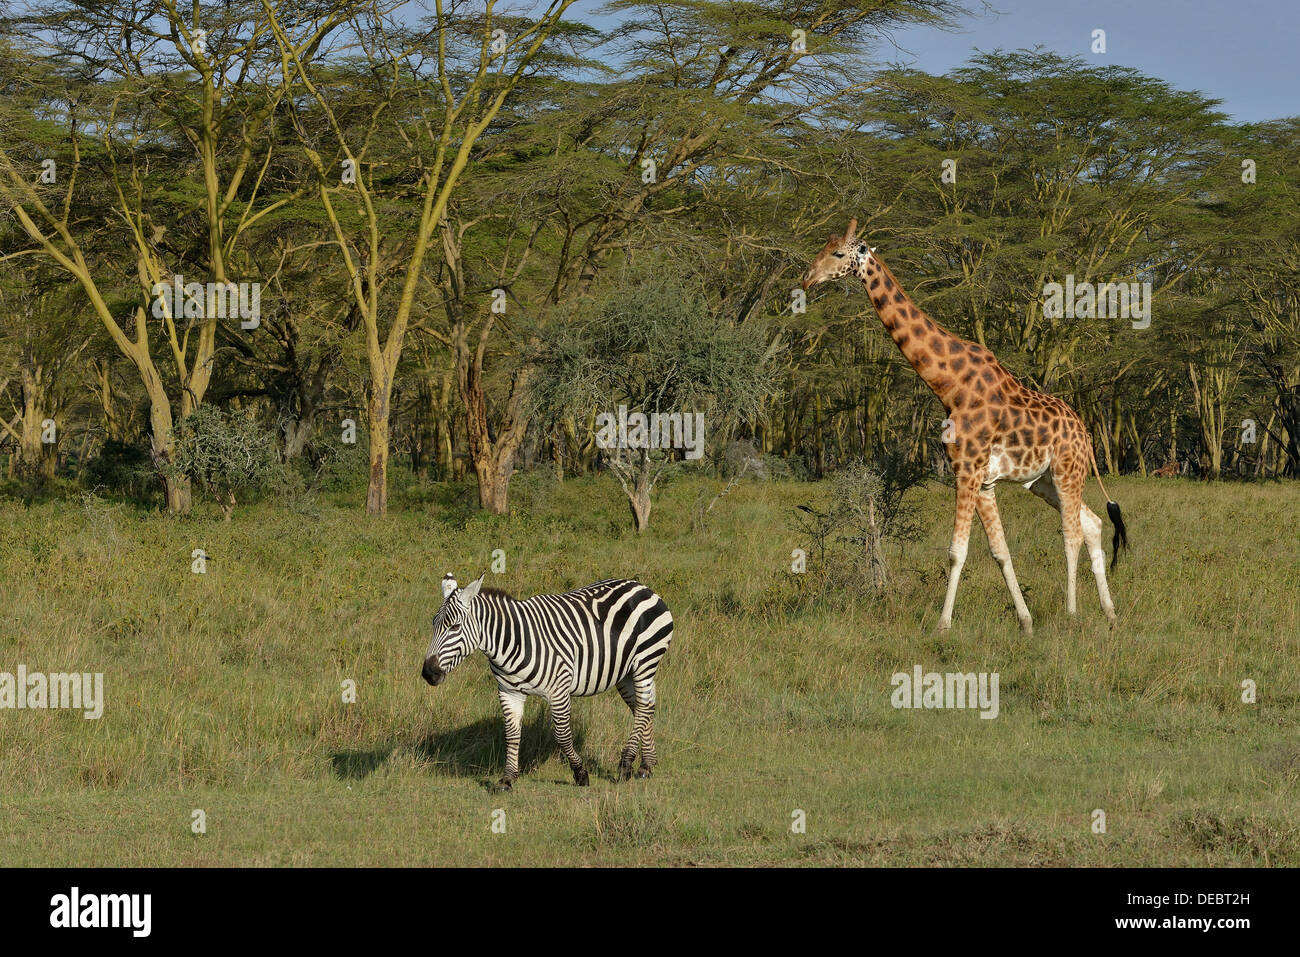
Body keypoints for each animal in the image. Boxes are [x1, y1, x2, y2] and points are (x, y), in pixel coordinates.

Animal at [421, 572, 676, 790]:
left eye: (455, 627)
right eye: (433, 624)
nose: (428, 673)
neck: (515, 642)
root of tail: (641, 587)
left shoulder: (559, 690)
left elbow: (562, 735)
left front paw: (580, 774)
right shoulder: (508, 691)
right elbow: (511, 734)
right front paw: (507, 779)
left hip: (645, 662)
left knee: (643, 708)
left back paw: (626, 765)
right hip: (625, 674)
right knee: (644, 708)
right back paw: (646, 765)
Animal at [795, 221, 1123, 631]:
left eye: (838, 253)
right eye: (823, 247)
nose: (807, 279)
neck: (950, 386)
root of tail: (1086, 433)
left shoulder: (966, 470)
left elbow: (957, 551)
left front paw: (942, 624)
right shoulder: (983, 480)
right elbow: (999, 551)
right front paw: (1026, 621)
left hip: (1067, 470)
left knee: (1072, 533)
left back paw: (1073, 612)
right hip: (1042, 480)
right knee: (1092, 523)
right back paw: (1110, 612)